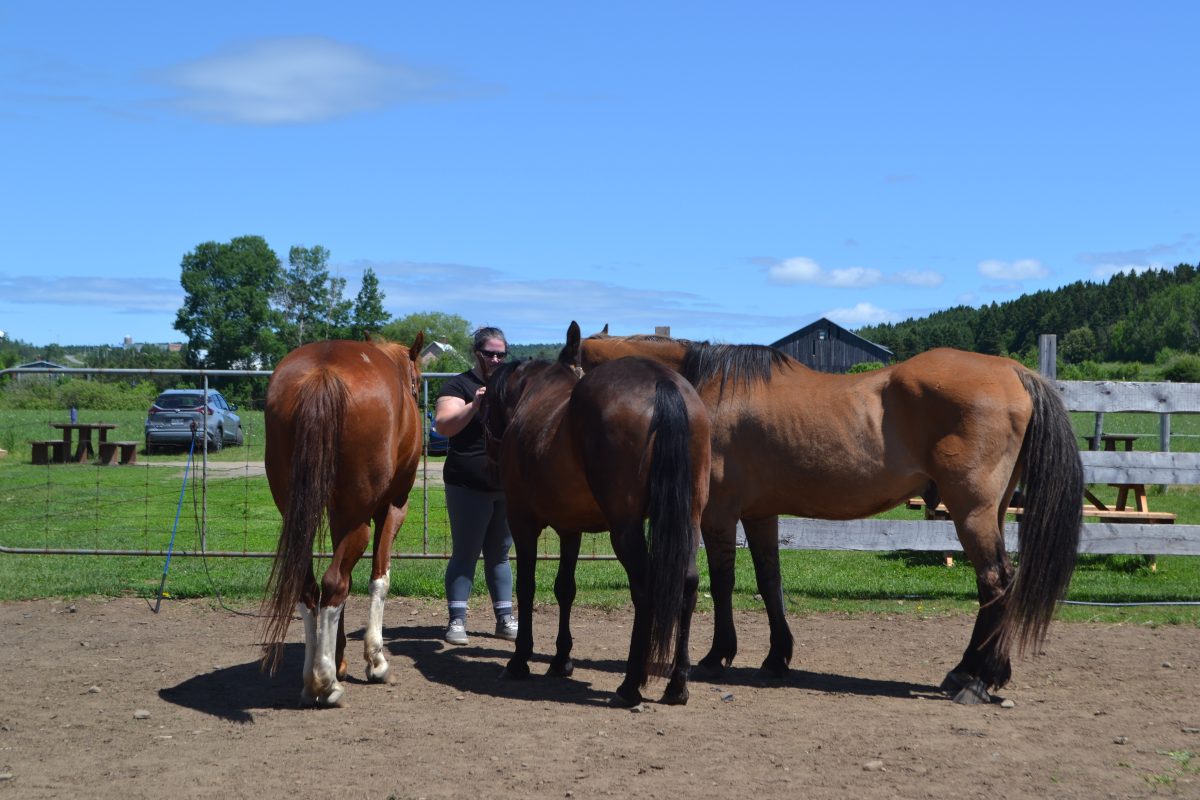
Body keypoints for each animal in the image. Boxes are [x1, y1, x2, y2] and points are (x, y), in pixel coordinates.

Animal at [259, 334, 424, 707]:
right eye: (417, 383)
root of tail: (323, 373)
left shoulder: (337, 517)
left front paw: (341, 660)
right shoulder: (392, 508)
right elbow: (379, 579)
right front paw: (375, 662)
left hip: (303, 517)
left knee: (311, 586)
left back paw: (313, 681)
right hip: (359, 519)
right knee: (335, 582)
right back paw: (326, 683)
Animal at [480, 322, 711, 706]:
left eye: (484, 405)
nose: (489, 461)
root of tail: (662, 383)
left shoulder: (523, 522)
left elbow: (526, 586)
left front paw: (520, 659)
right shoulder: (570, 529)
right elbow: (565, 588)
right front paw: (561, 659)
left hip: (625, 529)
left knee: (645, 585)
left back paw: (631, 684)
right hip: (689, 521)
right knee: (687, 583)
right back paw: (677, 685)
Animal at [580, 330, 1083, 705]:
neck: (708, 389)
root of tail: (1013, 371)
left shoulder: (717, 514)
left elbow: (723, 583)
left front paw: (719, 654)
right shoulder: (760, 514)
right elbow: (769, 582)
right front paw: (776, 658)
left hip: (972, 511)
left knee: (996, 582)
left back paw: (974, 679)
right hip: (991, 510)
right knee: (998, 587)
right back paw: (979, 672)